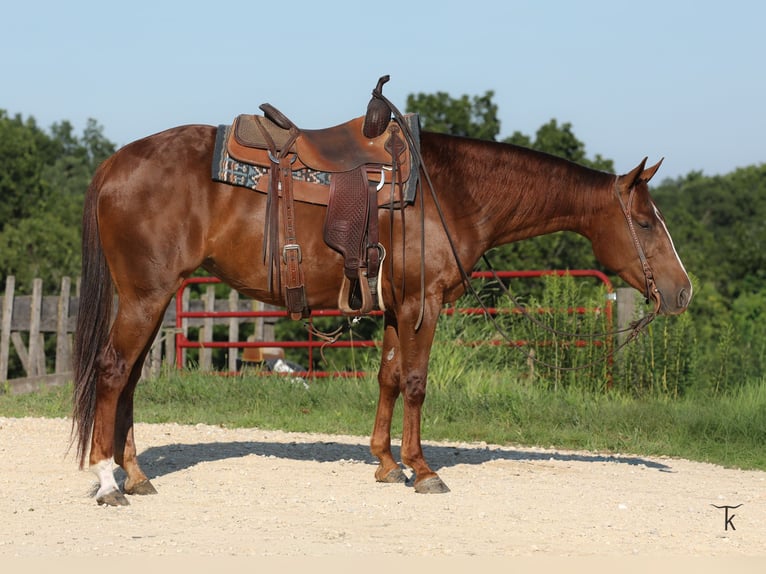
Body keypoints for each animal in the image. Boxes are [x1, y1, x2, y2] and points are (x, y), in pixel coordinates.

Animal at [72, 118, 692, 506]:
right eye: (644, 222)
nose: (683, 292)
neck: (454, 191)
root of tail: (114, 163)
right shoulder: (424, 302)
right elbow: (416, 382)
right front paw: (423, 470)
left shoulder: (397, 307)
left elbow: (389, 378)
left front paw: (387, 464)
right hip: (146, 296)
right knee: (112, 372)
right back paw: (107, 480)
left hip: (152, 299)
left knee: (128, 380)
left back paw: (136, 477)